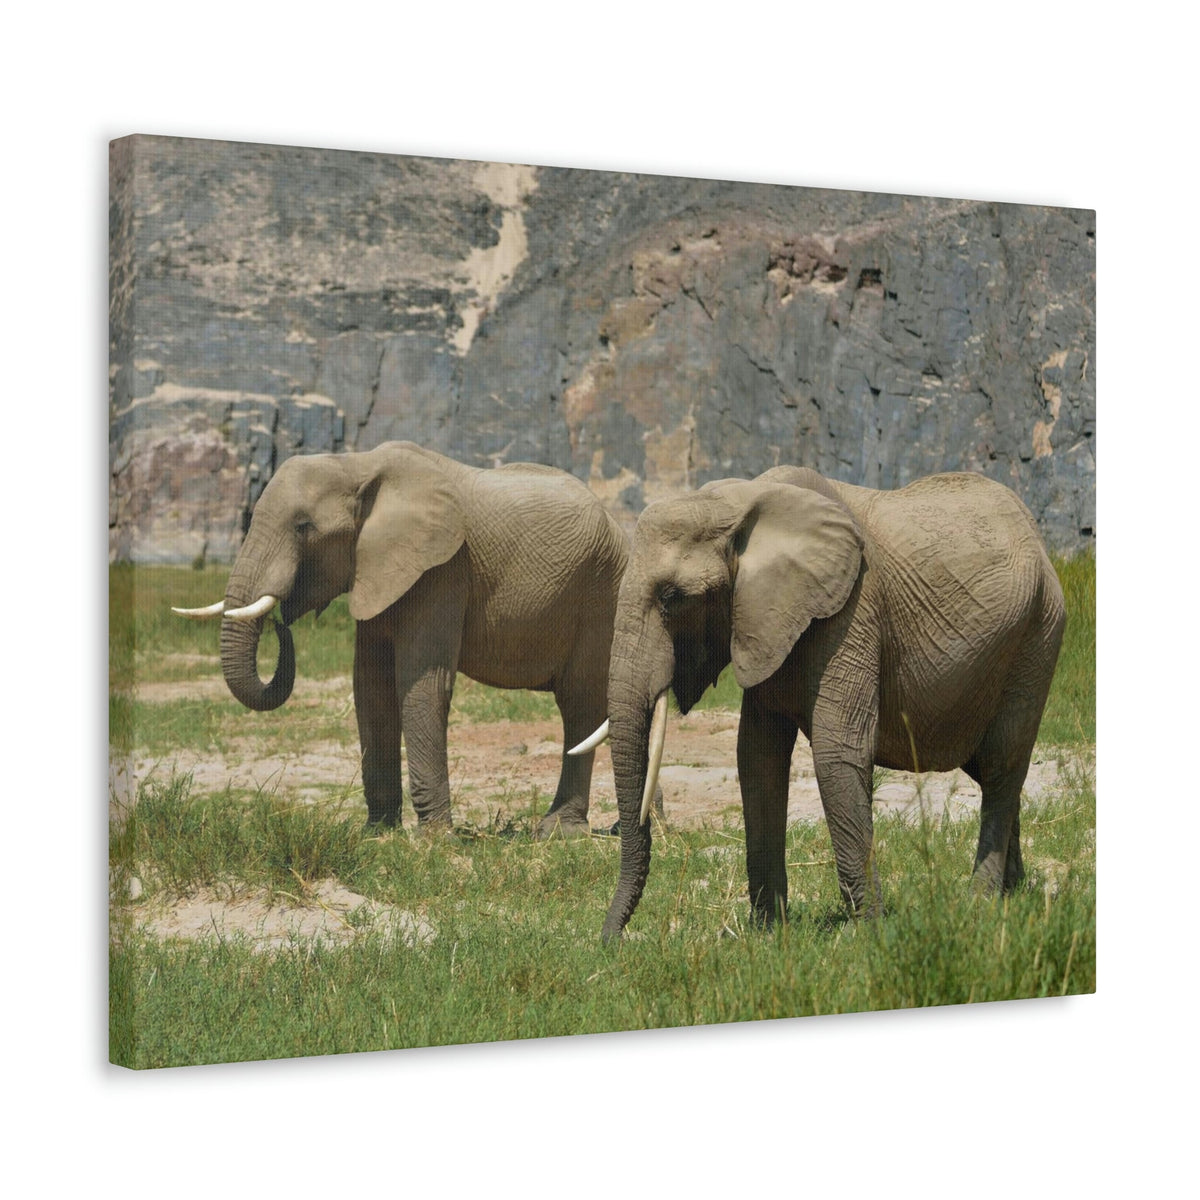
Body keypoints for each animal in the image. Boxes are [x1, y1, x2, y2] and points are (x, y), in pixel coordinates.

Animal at [174, 441, 630, 838]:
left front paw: (435, 840)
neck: (357, 465)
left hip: (602, 593)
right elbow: (371, 687)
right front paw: (377, 833)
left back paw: (559, 833)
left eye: (303, 527)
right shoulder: (377, 568)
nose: (280, 623)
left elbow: (422, 684)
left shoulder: (443, 568)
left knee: (578, 705)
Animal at [572, 466, 1066, 940]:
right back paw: (1013, 891)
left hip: (1038, 635)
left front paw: (863, 934)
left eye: (672, 598)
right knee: (990, 770)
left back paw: (980, 903)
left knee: (1002, 765)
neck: (737, 503)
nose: (613, 941)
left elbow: (836, 753)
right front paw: (767, 933)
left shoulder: (852, 610)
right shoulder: (764, 620)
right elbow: (757, 757)